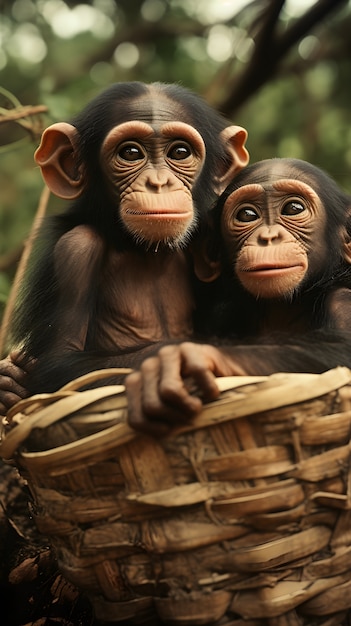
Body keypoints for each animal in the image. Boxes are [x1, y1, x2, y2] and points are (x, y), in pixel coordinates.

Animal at [5, 81, 250, 394]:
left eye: (180, 152)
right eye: (131, 153)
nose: (158, 183)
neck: (142, 250)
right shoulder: (74, 250)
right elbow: (61, 363)